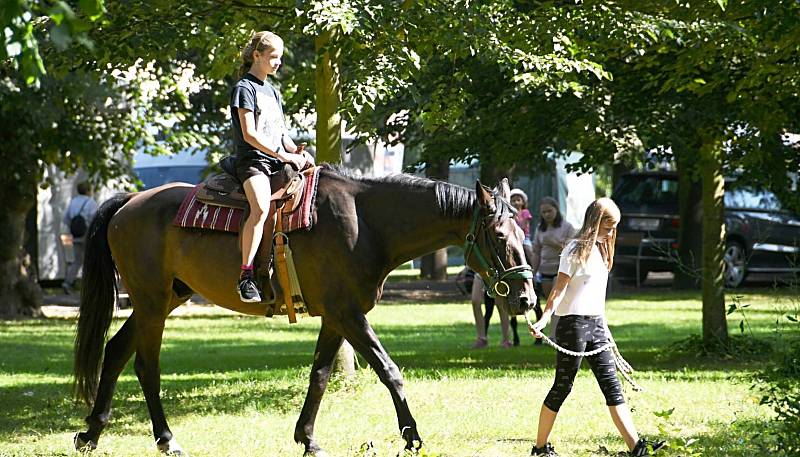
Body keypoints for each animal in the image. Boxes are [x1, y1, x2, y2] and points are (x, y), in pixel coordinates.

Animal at [72, 165, 536, 456]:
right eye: (499, 236)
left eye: (521, 231)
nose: (527, 298)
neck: (366, 224)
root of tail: (130, 202)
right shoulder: (349, 314)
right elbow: (390, 371)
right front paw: (412, 438)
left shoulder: (335, 317)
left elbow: (320, 376)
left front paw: (307, 439)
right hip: (152, 302)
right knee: (146, 365)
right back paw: (166, 439)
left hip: (165, 299)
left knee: (115, 350)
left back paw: (91, 433)